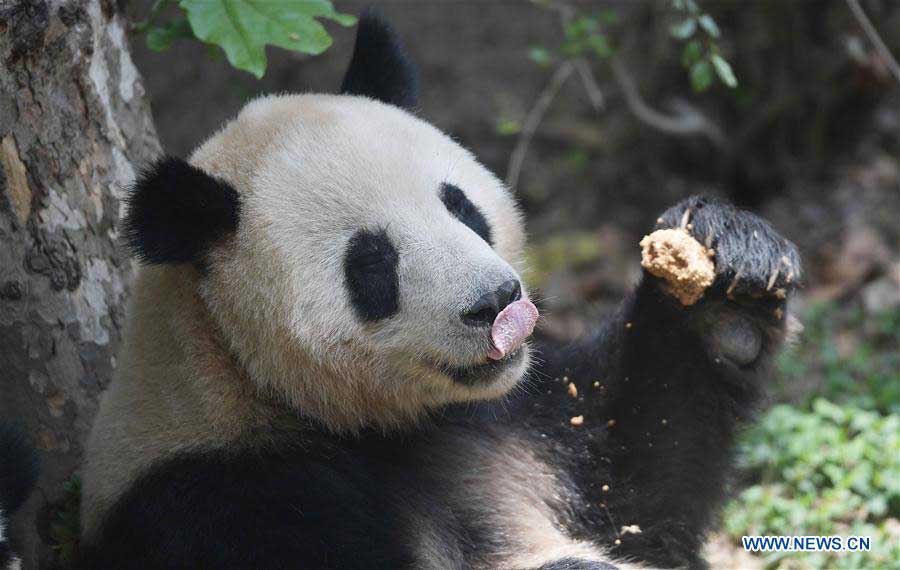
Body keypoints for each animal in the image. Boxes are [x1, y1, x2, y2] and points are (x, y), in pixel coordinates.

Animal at [5, 10, 800, 568]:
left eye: (460, 205)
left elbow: (638, 487)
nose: (498, 303)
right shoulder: (227, 500)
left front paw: (729, 275)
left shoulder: (517, 426)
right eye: (372, 264)